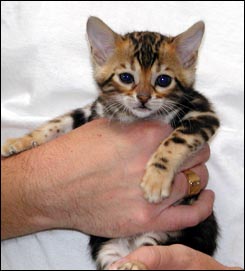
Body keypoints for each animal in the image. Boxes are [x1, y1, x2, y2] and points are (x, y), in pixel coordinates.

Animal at [1, 17, 220, 271]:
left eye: (163, 80)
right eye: (126, 77)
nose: (143, 98)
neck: (133, 117)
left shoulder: (202, 113)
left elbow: (175, 140)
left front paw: (156, 179)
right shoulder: (91, 111)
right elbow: (58, 122)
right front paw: (20, 141)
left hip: (170, 236)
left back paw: (135, 264)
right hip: (108, 247)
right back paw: (128, 264)